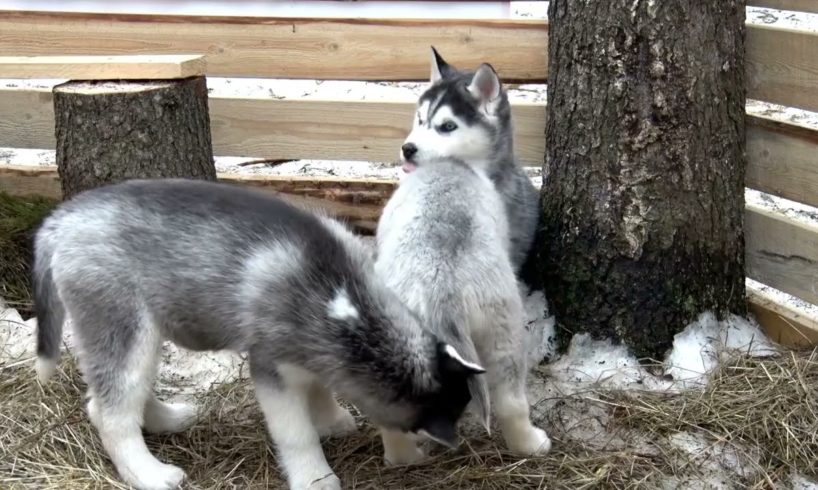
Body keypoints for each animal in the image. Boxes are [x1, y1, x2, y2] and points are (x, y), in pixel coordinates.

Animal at [33, 179, 484, 490]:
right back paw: (149, 473)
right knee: (108, 409)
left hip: (145, 333)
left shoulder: (314, 353)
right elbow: (297, 434)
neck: (345, 300)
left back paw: (169, 418)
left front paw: (333, 419)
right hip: (121, 325)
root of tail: (62, 218)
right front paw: (316, 477)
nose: (412, 457)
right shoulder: (272, 368)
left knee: (128, 392)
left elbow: (320, 387)